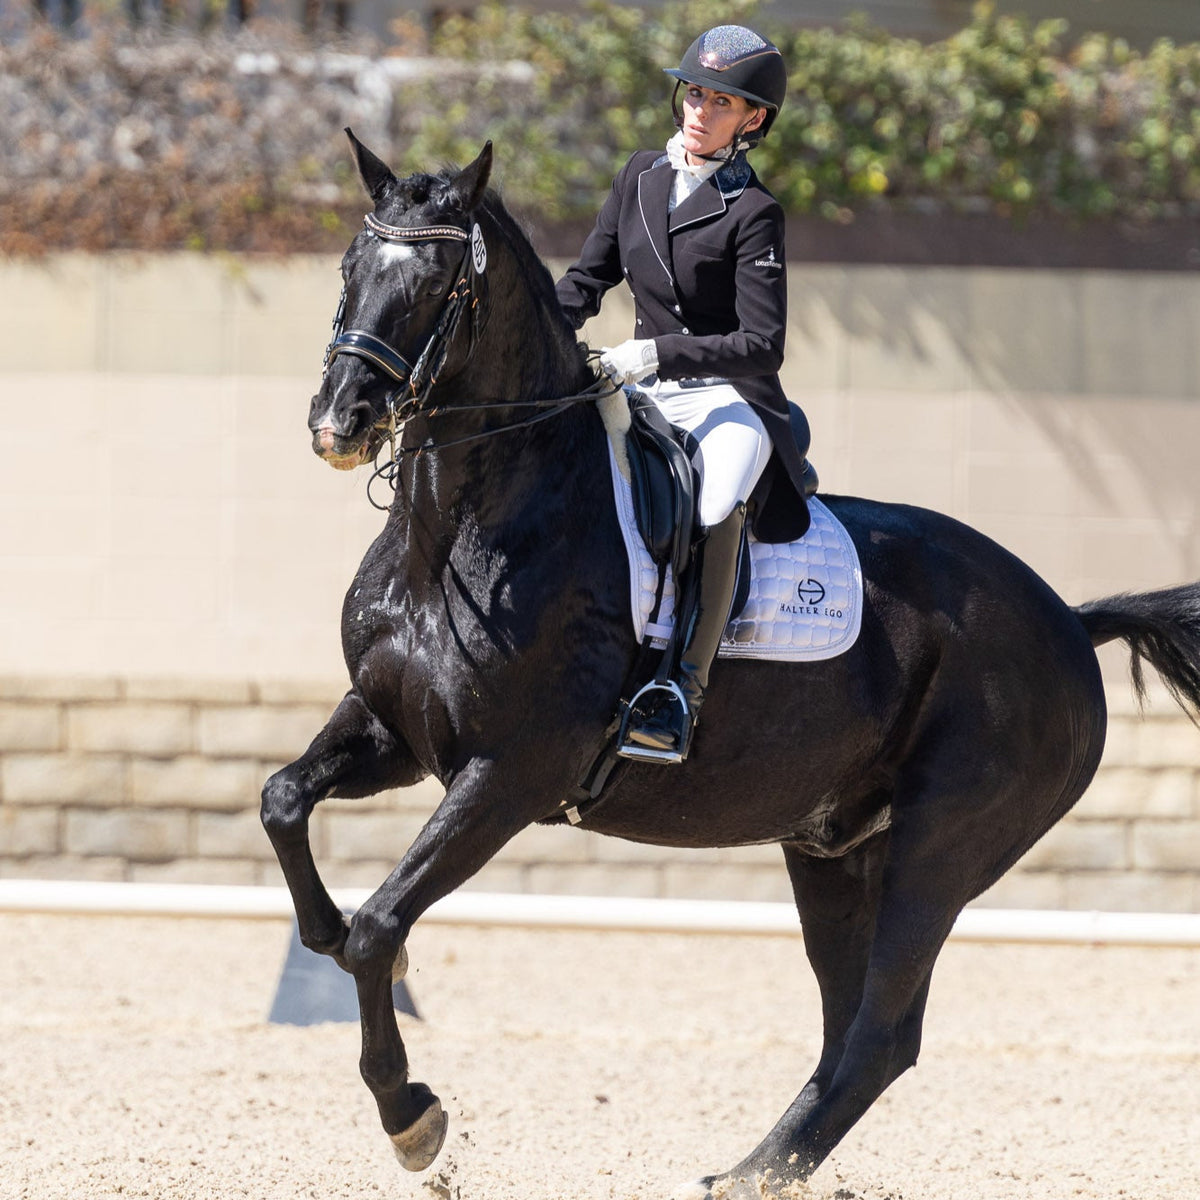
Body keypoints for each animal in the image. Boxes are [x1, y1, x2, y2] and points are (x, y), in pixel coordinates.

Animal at [262, 133, 1200, 1200]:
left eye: (440, 285)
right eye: (350, 268)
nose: (340, 422)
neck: (464, 525)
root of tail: (1067, 622)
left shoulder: (508, 774)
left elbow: (383, 925)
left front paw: (411, 1117)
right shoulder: (393, 730)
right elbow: (284, 803)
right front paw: (323, 936)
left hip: (939, 849)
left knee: (880, 1031)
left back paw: (752, 1175)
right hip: (834, 848)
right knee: (851, 1028)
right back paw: (759, 1168)